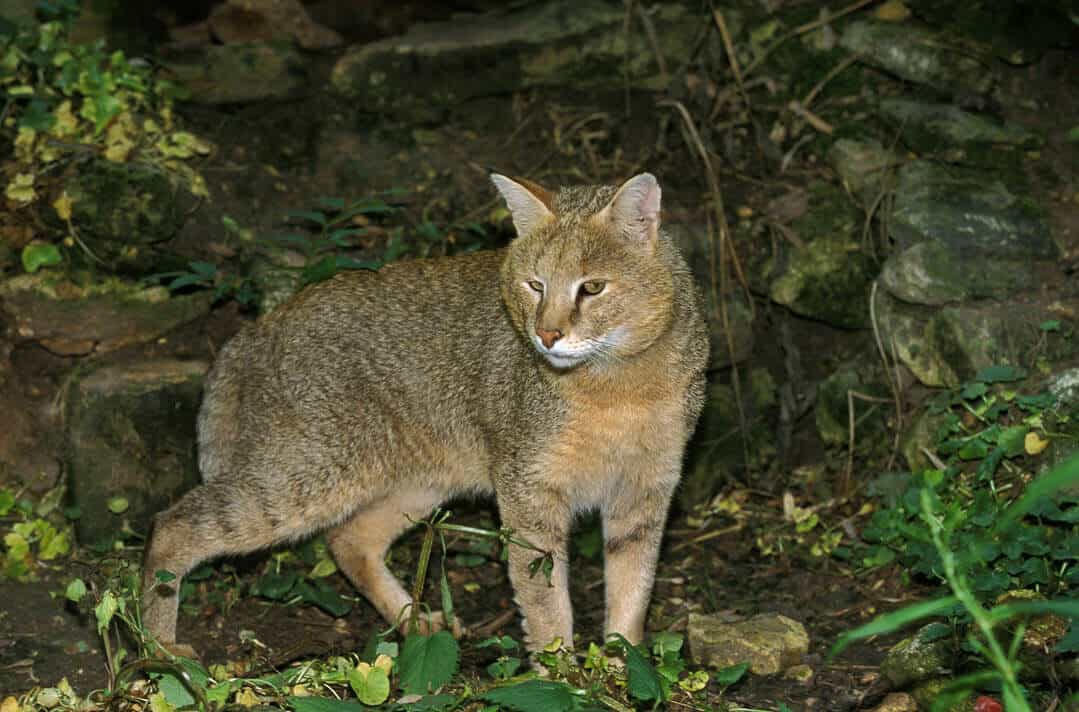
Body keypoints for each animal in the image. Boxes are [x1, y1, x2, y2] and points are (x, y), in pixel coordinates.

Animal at [145, 172, 716, 655]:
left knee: (348, 540)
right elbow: (546, 605)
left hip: (416, 480)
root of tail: (259, 326)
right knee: (173, 525)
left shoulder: (645, 494)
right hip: (305, 478)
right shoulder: (530, 493)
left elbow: (631, 596)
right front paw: (564, 678)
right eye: (535, 285)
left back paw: (414, 623)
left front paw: (620, 670)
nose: (547, 334)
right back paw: (158, 649)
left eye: (592, 287)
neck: (622, 387)